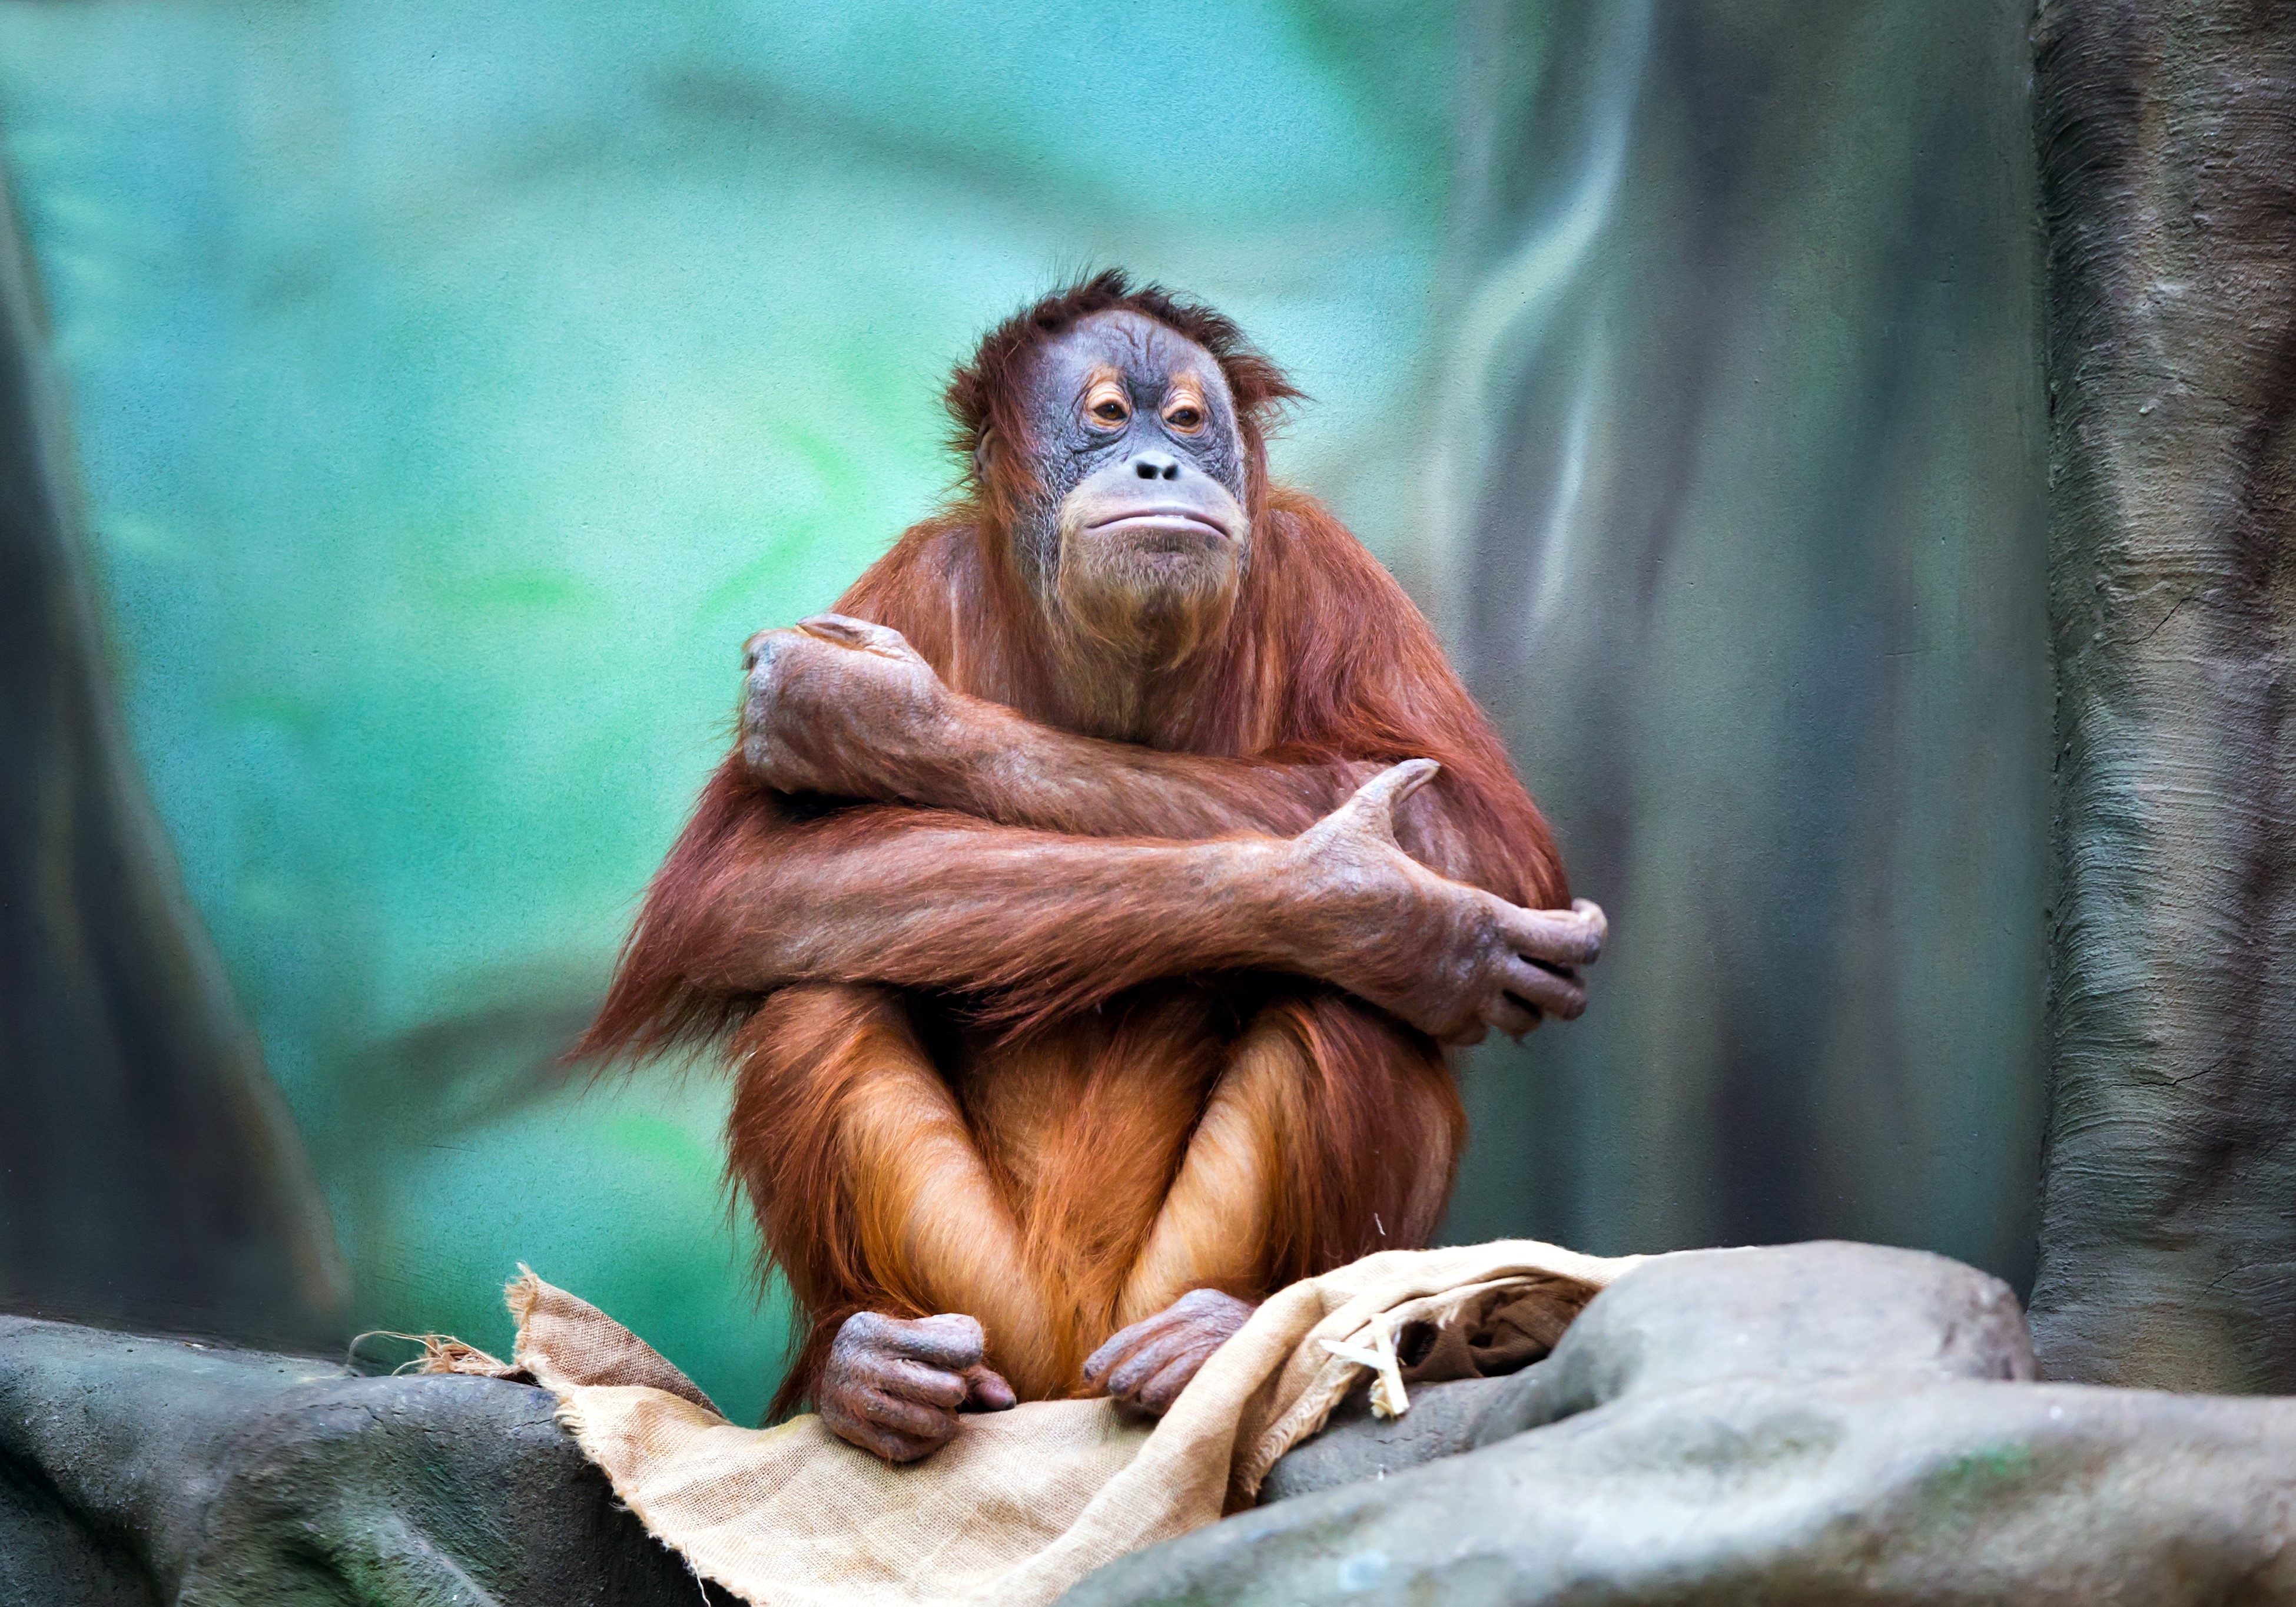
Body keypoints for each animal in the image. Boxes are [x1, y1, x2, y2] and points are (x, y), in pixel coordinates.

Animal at [580, 271, 1604, 1462]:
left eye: (1191, 421)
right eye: (1110, 417)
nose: (1160, 463)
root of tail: (1075, 1364)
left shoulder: (1329, 564)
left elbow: (1480, 829)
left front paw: (869, 712)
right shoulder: (907, 582)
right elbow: (742, 879)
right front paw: (1372, 905)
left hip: (1158, 1286)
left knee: (1351, 1005)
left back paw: (1231, 1332)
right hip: (994, 1317)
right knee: (817, 996)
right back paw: (869, 1365)